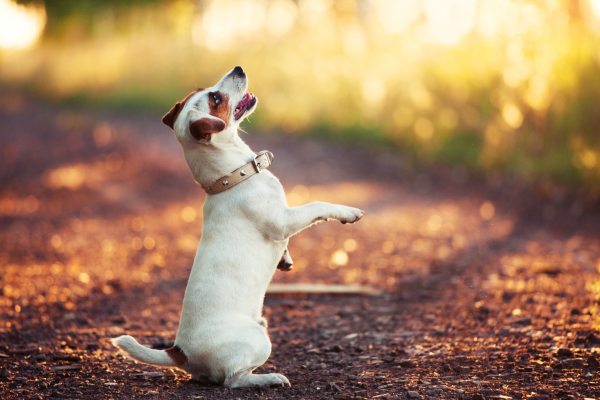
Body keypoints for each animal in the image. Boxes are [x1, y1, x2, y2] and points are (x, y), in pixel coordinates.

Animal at [113, 66, 366, 388]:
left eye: (205, 89)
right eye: (215, 98)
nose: (238, 68)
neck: (231, 177)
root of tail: (180, 352)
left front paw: (285, 260)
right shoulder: (283, 221)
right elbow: (317, 205)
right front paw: (349, 212)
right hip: (259, 340)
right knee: (233, 380)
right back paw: (269, 378)